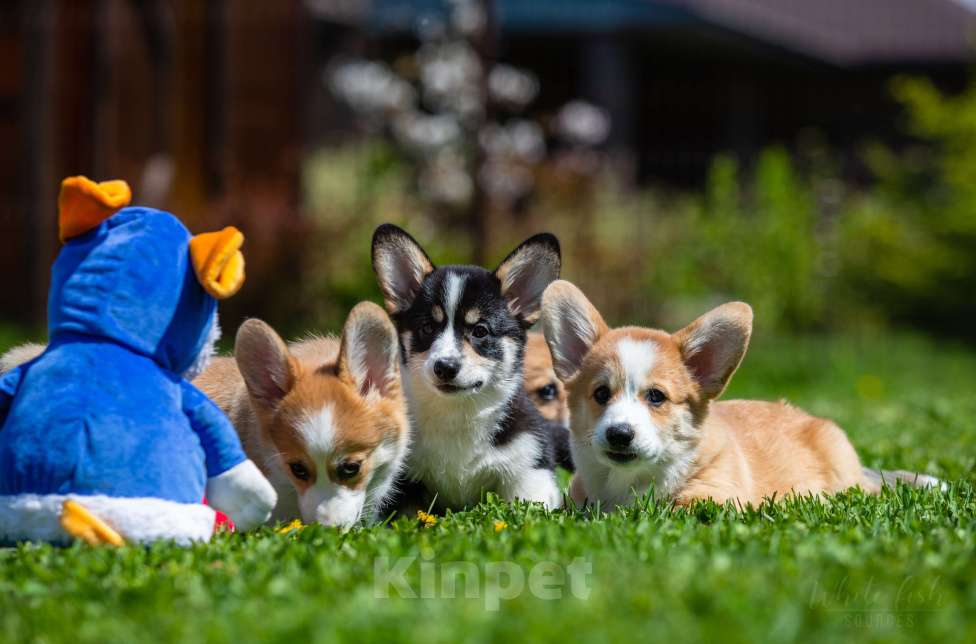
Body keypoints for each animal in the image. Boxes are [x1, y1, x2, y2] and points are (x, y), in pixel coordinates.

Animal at [536, 280, 940, 508]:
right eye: (601, 393)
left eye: (656, 397)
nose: (619, 434)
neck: (628, 483)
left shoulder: (715, 498)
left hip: (844, 473)